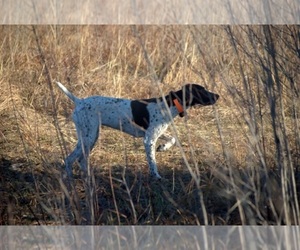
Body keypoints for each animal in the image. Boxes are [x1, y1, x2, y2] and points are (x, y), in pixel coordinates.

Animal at [55, 82, 218, 180]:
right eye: (202, 90)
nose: (218, 95)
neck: (169, 104)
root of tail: (79, 101)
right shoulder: (148, 140)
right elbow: (152, 162)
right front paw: (156, 177)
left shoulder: (154, 133)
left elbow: (172, 139)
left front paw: (163, 147)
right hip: (88, 136)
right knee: (69, 159)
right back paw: (70, 180)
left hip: (90, 136)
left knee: (81, 159)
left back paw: (89, 177)